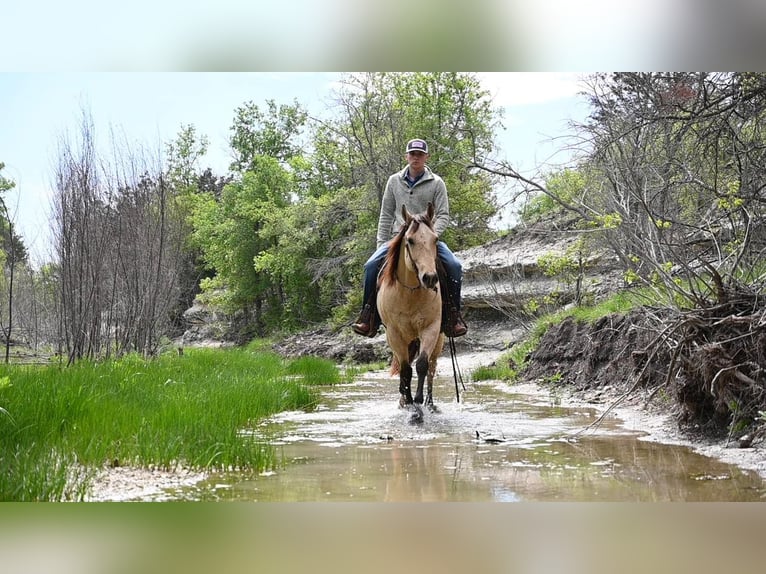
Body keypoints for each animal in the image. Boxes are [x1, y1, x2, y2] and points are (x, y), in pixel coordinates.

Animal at [376, 202, 444, 424]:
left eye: (435, 239)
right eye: (410, 241)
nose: (430, 278)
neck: (409, 294)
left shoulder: (430, 329)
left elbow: (421, 365)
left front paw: (418, 404)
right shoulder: (394, 334)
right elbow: (405, 370)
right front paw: (409, 406)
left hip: (439, 340)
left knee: (431, 367)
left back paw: (430, 404)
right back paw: (403, 400)